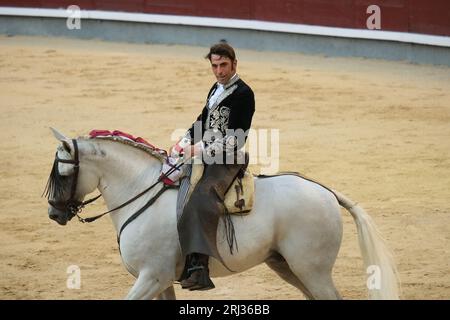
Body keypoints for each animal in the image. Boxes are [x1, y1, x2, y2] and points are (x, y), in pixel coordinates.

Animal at [44, 129, 398, 298]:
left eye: (62, 172)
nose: (53, 214)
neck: (140, 189)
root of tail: (326, 192)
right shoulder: (161, 280)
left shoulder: (151, 276)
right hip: (288, 267)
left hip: (313, 270)